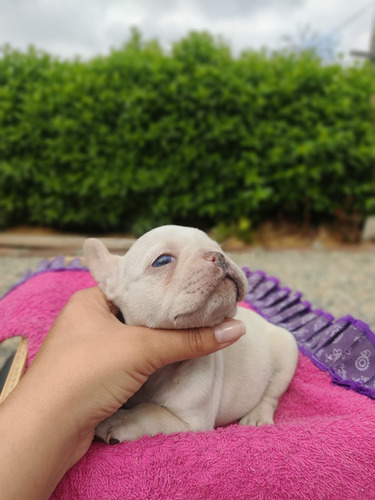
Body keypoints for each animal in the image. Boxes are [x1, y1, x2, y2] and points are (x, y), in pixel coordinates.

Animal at [83, 225, 298, 444]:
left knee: (271, 394)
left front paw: (119, 420)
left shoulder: (191, 422)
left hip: (286, 353)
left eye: (220, 248)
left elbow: (151, 412)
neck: (163, 369)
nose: (218, 255)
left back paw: (257, 416)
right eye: (162, 260)